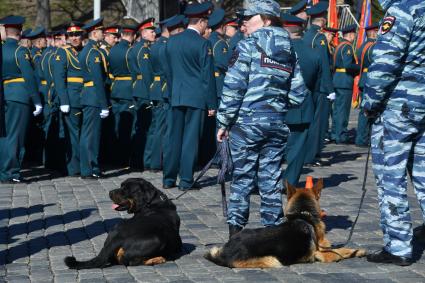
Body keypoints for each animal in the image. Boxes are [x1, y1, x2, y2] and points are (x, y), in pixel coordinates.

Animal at [204, 180, 366, 268]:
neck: (303, 214)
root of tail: (223, 254)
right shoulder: (323, 254)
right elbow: (340, 251)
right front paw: (356, 252)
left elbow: (341, 249)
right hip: (274, 260)